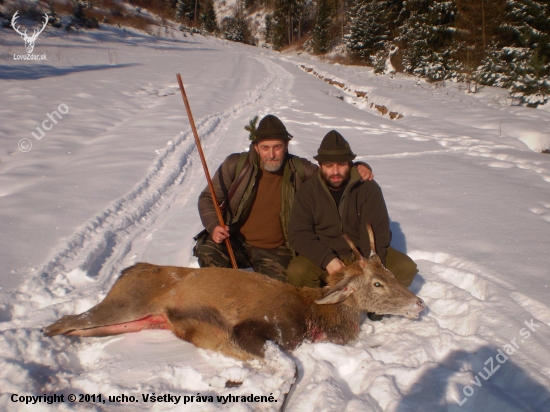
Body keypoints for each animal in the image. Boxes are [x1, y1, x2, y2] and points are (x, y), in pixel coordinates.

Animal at [46, 224, 426, 358]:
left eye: (389, 272)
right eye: (377, 282)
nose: (420, 304)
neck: (315, 317)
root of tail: (127, 271)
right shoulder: (264, 327)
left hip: (137, 320)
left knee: (78, 327)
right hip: (125, 303)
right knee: (63, 321)